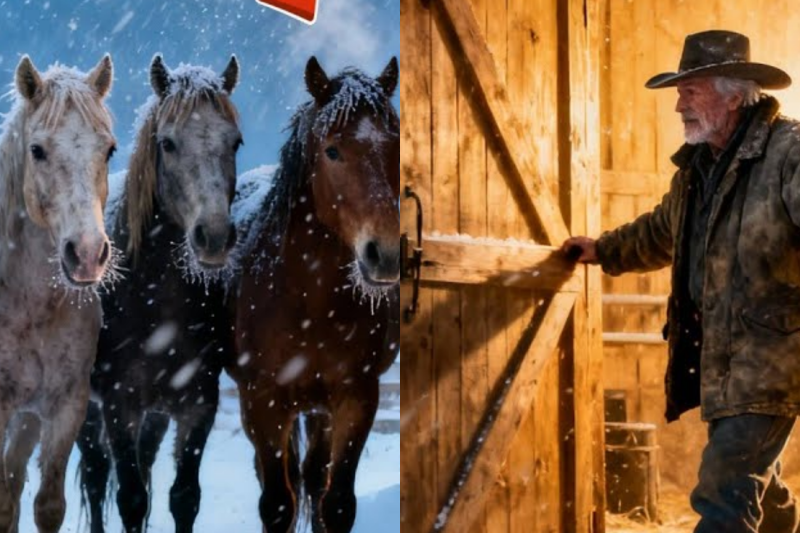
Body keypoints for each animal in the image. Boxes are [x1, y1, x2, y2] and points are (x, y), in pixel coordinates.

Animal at [76, 55, 242, 533]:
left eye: (235, 142)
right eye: (167, 143)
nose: (214, 237)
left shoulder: (197, 406)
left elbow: (183, 497)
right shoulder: (119, 405)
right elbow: (129, 498)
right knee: (96, 475)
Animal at [229, 56, 399, 533]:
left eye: (396, 146)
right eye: (332, 150)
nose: (385, 254)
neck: (311, 301)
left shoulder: (356, 398)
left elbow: (336, 502)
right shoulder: (262, 402)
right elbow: (277, 504)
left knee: (314, 476)